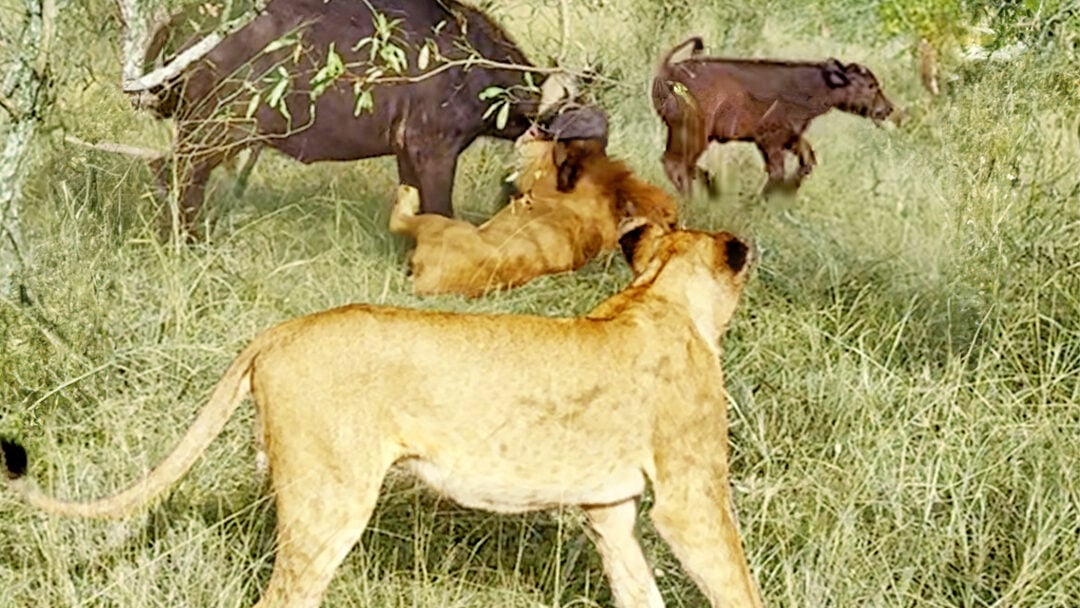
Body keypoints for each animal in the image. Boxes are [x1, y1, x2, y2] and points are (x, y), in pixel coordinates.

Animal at [2, 224, 763, 608]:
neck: (660, 295)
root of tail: (278, 331)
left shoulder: (609, 509)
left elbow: (638, 588)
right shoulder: (689, 498)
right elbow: (735, 583)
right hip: (330, 497)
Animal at [142, 0, 599, 236]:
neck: (473, 66)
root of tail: (177, 24)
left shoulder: (406, 153)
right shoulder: (434, 148)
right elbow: (440, 210)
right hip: (216, 131)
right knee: (176, 175)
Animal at [652, 36, 894, 196]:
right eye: (871, 86)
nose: (888, 108)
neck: (815, 85)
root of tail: (668, 70)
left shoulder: (790, 137)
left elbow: (808, 161)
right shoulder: (770, 141)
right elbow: (777, 172)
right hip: (693, 134)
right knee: (676, 164)